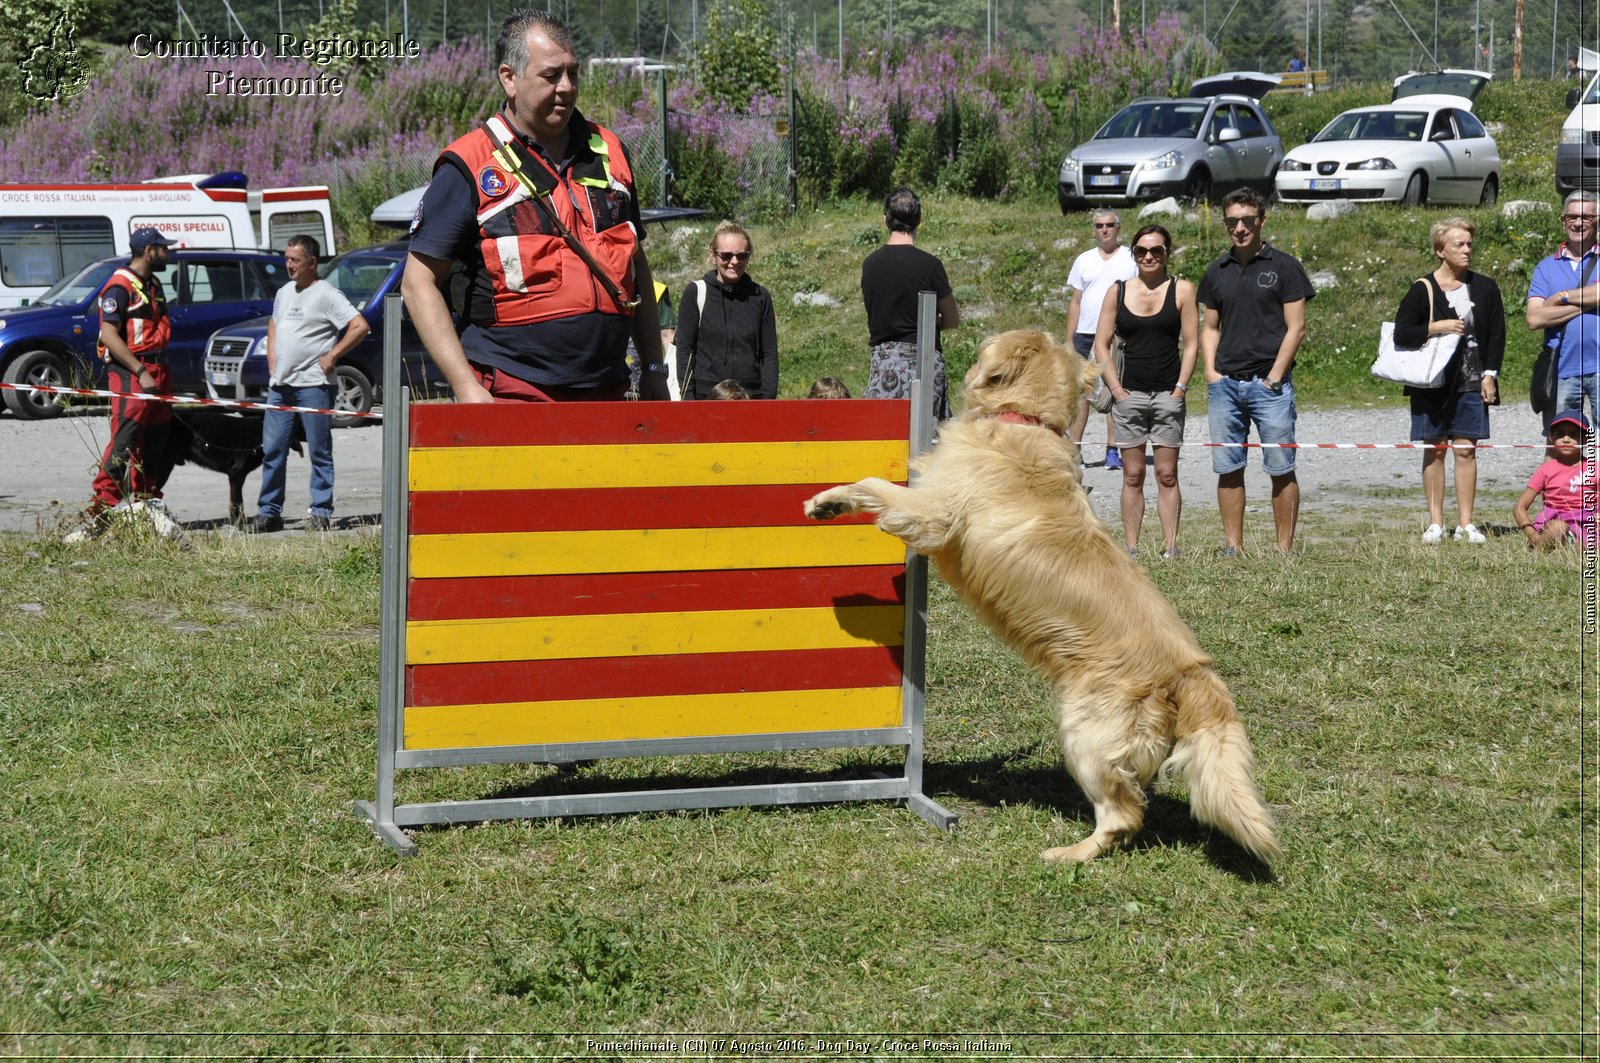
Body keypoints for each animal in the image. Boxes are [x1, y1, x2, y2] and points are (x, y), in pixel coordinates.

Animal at [806, 329, 1280, 864]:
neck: (1023, 420)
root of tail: (1190, 673)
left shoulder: (932, 515)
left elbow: (875, 486)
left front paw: (827, 502)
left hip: (1086, 732)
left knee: (1122, 815)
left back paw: (1066, 854)